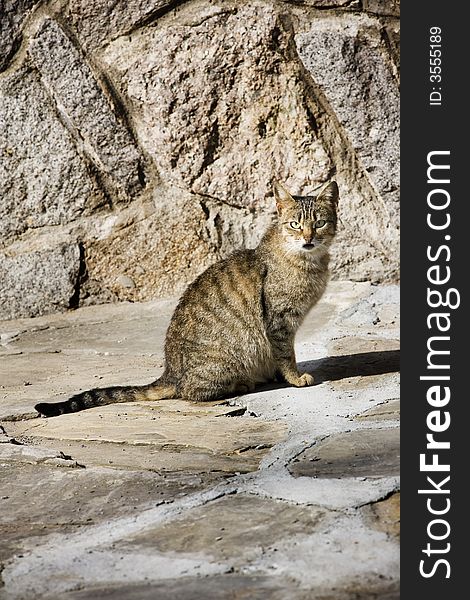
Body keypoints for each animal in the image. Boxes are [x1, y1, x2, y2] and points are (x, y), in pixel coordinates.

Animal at [35, 180, 338, 418]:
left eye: (319, 223)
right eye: (295, 225)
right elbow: (286, 354)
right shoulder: (279, 321)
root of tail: (170, 371)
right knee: (191, 392)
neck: (308, 262)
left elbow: (280, 356)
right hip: (223, 361)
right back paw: (241, 384)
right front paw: (295, 378)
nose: (308, 238)